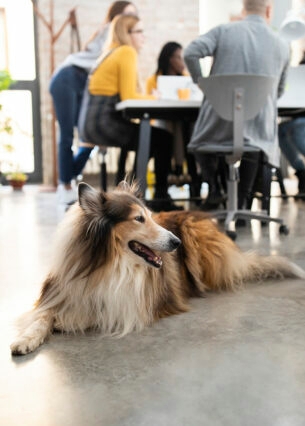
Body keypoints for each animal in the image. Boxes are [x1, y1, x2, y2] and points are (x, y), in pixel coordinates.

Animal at [9, 181, 304, 354]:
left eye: (151, 216)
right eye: (139, 219)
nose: (176, 243)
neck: (109, 265)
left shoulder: (128, 304)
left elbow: (92, 311)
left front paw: (68, 320)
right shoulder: (60, 291)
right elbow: (42, 317)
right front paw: (26, 339)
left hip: (196, 237)